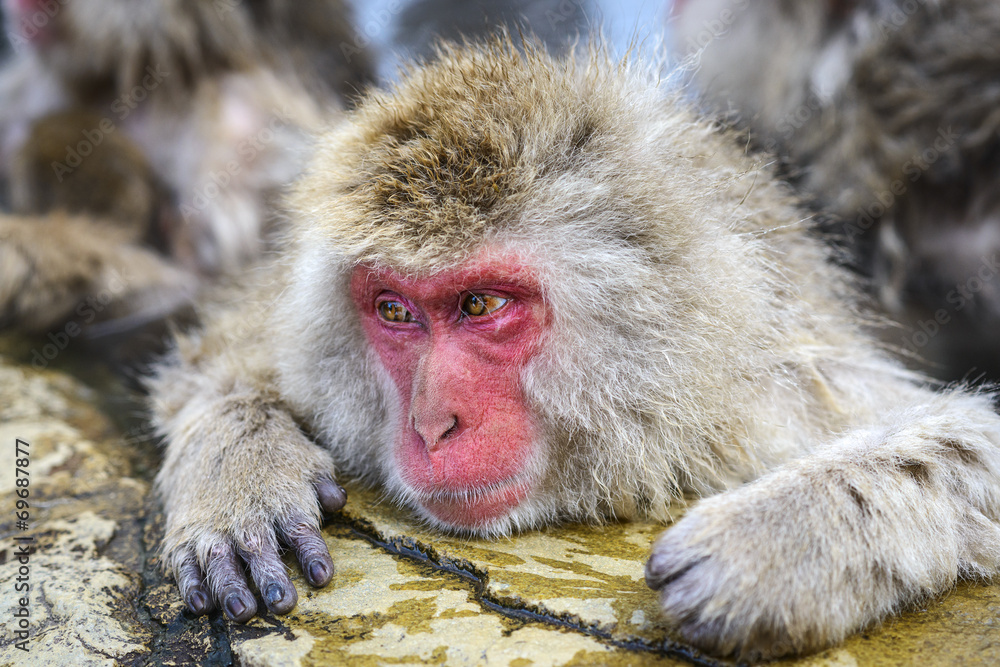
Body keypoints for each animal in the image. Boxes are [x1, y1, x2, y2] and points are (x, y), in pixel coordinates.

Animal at [146, 41, 1000, 664]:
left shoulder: (780, 387)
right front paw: (239, 475)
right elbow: (218, 349)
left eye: (481, 305)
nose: (432, 424)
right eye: (394, 310)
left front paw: (777, 541)